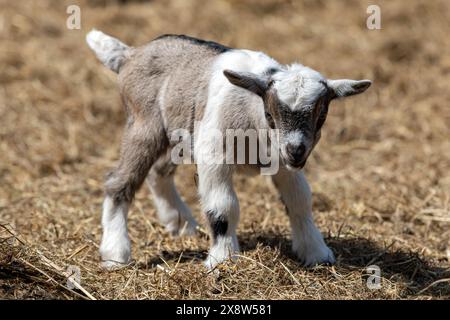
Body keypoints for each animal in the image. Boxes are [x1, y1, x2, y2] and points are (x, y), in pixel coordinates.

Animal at [86, 30, 370, 270]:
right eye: (270, 114)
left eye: (321, 117)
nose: (296, 151)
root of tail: (130, 54)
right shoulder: (215, 155)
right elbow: (223, 206)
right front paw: (223, 259)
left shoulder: (282, 162)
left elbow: (300, 200)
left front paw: (316, 253)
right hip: (144, 124)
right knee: (118, 182)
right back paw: (116, 254)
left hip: (179, 131)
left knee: (159, 171)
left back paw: (181, 225)